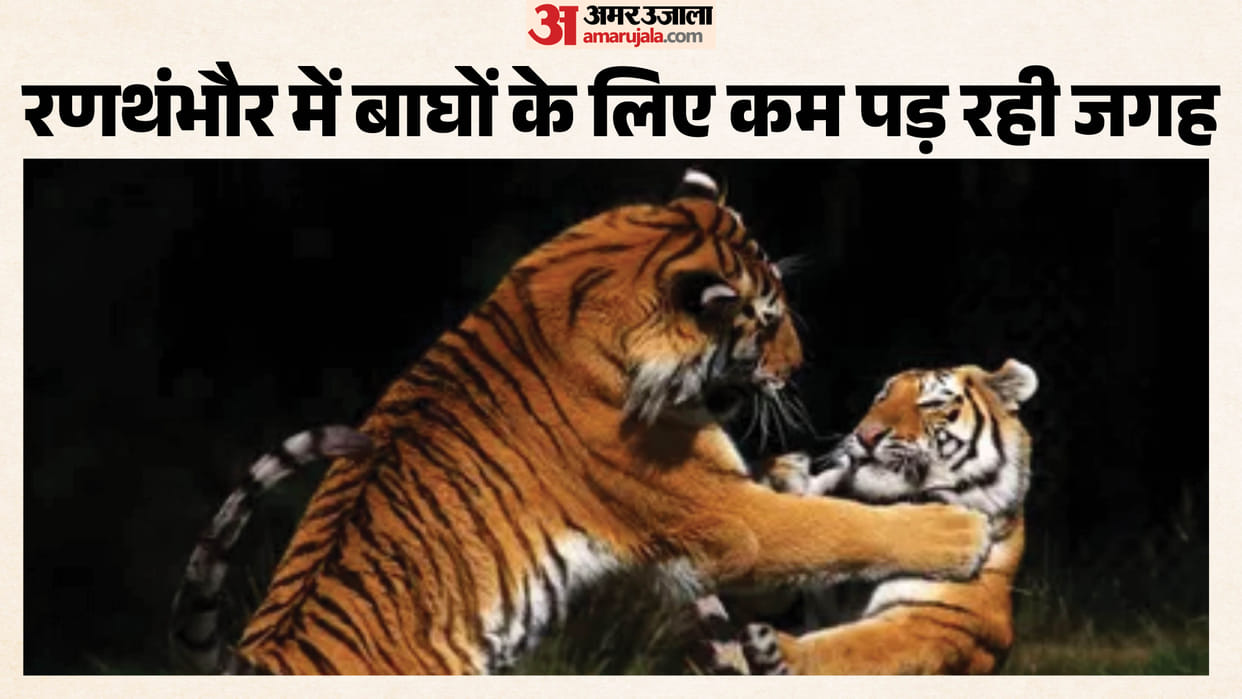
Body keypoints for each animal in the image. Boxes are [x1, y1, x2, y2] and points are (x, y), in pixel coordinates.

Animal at [169, 169, 993, 675]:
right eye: (766, 321)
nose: (796, 365)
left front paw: (796, 468)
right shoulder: (726, 524)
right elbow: (835, 528)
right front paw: (956, 535)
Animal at [697, 359, 1038, 675]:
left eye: (931, 404)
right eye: (881, 398)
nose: (865, 435)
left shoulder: (940, 619)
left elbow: (856, 647)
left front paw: (779, 650)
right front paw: (783, 474)